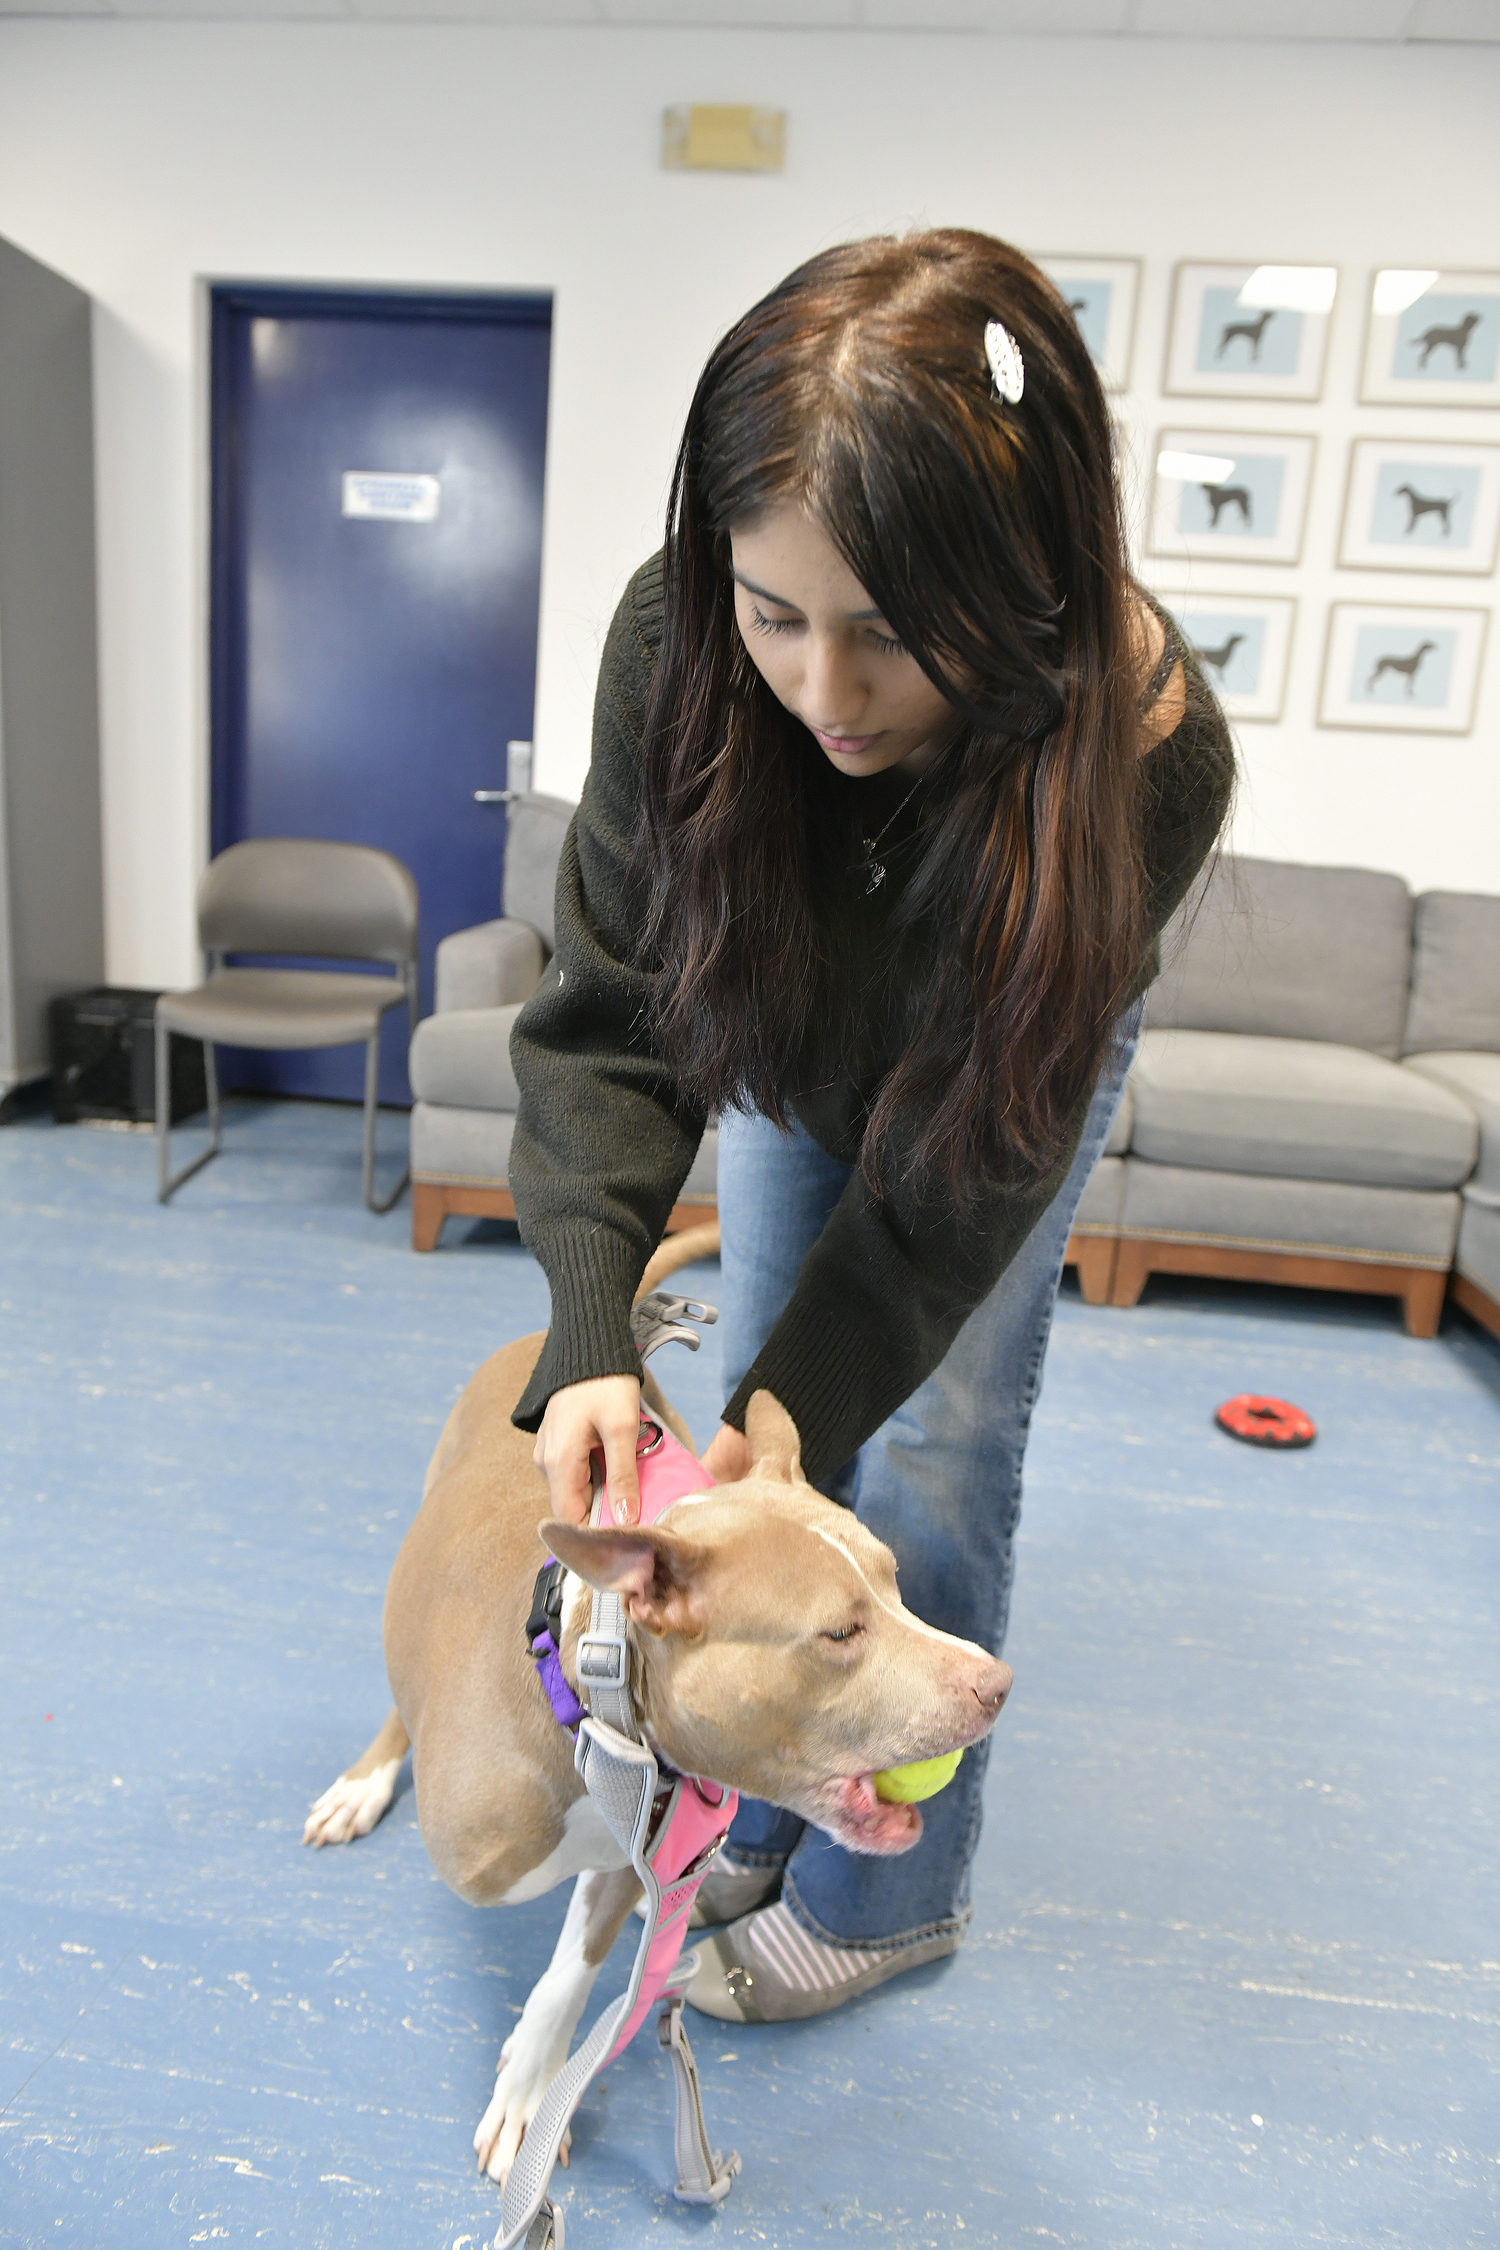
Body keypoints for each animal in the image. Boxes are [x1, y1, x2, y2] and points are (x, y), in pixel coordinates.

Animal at [301, 1233, 1007, 2196]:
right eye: (839, 1632)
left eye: (896, 1582)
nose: (996, 1682)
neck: (594, 1709)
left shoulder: (633, 1856)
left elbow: (570, 1974)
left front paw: (531, 2088)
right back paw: (365, 1781)